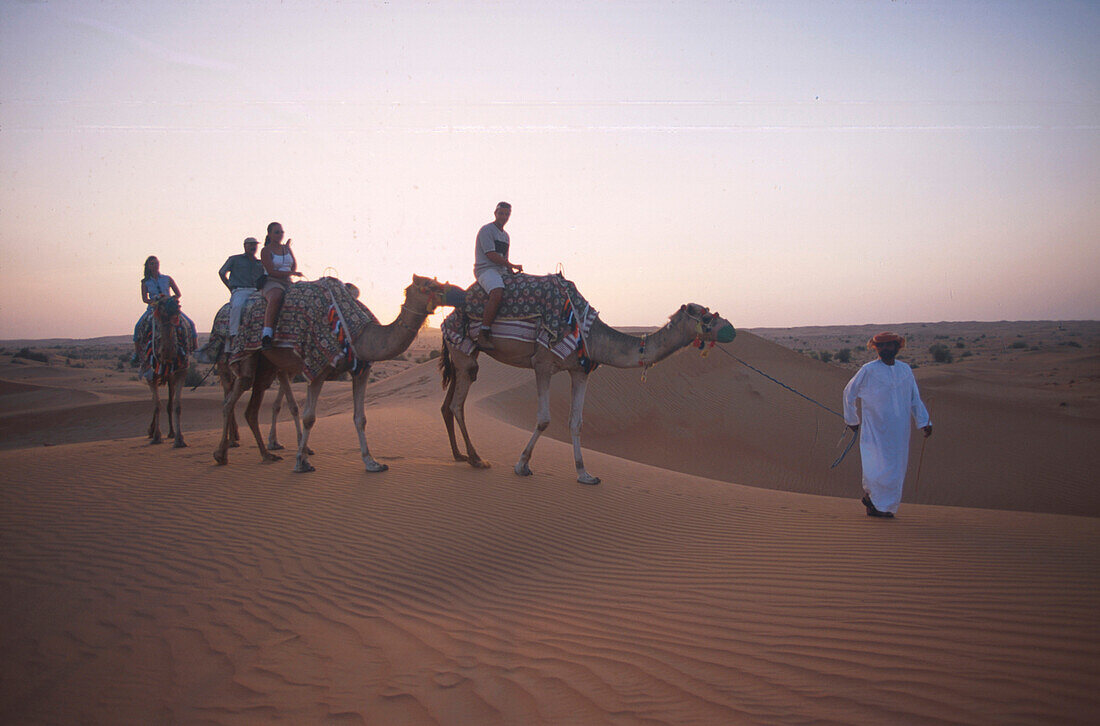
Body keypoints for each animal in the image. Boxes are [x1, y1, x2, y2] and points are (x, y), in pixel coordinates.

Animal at [139, 297, 195, 448]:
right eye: (162, 303)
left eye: (176, 299)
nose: (176, 306)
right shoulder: (150, 375)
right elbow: (157, 405)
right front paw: (156, 436)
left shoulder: (181, 372)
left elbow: (177, 405)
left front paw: (179, 439)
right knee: (155, 401)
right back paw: (152, 431)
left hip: (170, 378)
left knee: (169, 403)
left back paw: (171, 432)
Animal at [212, 275, 457, 473]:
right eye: (429, 285)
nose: (455, 291)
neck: (361, 334)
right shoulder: (317, 369)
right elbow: (309, 417)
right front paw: (301, 462)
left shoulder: (361, 371)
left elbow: (360, 418)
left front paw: (372, 462)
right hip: (246, 357)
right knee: (229, 401)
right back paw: (221, 454)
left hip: (268, 364)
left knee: (251, 409)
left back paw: (267, 454)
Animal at [442, 303, 734, 484]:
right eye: (706, 317)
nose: (730, 329)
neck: (591, 336)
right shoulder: (543, 364)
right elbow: (544, 419)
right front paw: (521, 465)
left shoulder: (580, 371)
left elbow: (576, 422)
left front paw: (585, 474)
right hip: (464, 353)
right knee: (457, 404)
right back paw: (477, 459)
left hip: (464, 354)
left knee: (447, 404)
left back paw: (459, 455)